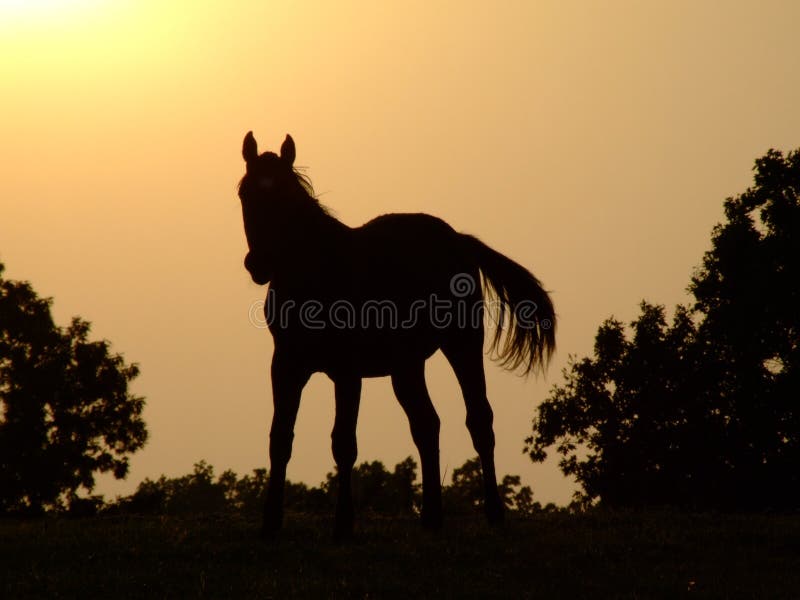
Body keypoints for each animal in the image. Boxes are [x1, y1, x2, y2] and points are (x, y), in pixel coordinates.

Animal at [237, 132, 556, 539]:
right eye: (245, 193)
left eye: (286, 196)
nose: (258, 265)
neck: (319, 271)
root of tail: (458, 239)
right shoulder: (286, 366)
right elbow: (280, 438)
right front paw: (270, 524)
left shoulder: (347, 371)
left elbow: (344, 443)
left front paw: (343, 525)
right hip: (407, 366)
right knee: (427, 424)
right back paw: (432, 518)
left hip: (462, 344)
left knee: (479, 420)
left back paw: (494, 513)